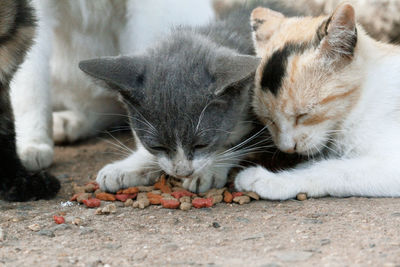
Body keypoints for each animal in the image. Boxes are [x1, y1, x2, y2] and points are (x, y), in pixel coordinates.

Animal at [79, 3, 296, 194]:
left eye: (202, 144)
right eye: (156, 145)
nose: (183, 171)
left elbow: (243, 142)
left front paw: (210, 170)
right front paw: (127, 167)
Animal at [234, 3, 400, 201]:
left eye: (303, 115)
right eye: (269, 120)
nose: (288, 149)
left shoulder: (392, 163)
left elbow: (333, 169)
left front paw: (271, 180)